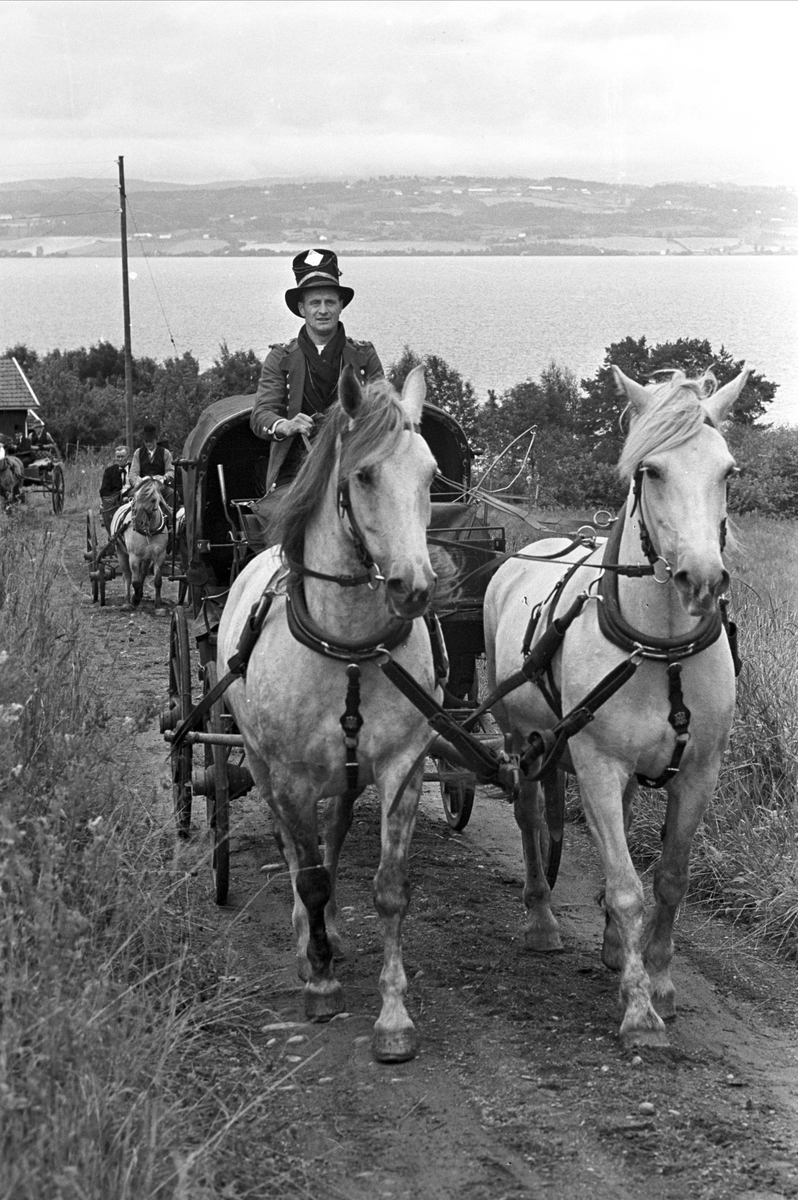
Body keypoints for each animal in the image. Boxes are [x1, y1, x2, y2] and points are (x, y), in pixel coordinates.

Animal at [112, 475, 169, 609]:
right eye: (136, 498)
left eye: (153, 500)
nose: (138, 523)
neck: (150, 531)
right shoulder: (134, 557)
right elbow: (135, 581)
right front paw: (135, 599)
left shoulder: (160, 555)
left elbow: (157, 580)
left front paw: (158, 603)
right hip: (121, 553)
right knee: (127, 576)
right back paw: (128, 601)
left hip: (147, 558)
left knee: (142, 573)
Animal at [216, 364, 436, 1060]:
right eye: (363, 476)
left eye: (430, 475)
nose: (414, 588)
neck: (349, 645)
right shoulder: (288, 774)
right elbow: (307, 873)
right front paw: (320, 984)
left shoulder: (402, 767)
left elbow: (389, 889)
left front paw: (393, 1017)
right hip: (261, 764)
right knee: (295, 850)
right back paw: (306, 942)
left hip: (346, 773)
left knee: (332, 836)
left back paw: (331, 932)